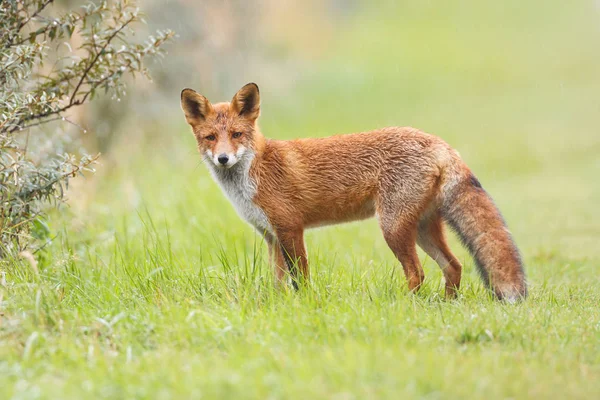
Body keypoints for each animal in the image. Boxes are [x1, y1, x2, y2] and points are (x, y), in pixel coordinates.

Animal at [180, 82, 528, 300]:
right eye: (211, 138)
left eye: (237, 135)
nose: (223, 158)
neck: (255, 173)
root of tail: (438, 142)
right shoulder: (271, 237)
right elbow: (278, 282)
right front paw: (279, 308)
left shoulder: (291, 228)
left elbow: (300, 277)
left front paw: (304, 305)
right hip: (422, 228)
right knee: (453, 266)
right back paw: (446, 306)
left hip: (393, 228)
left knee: (417, 273)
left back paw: (407, 306)